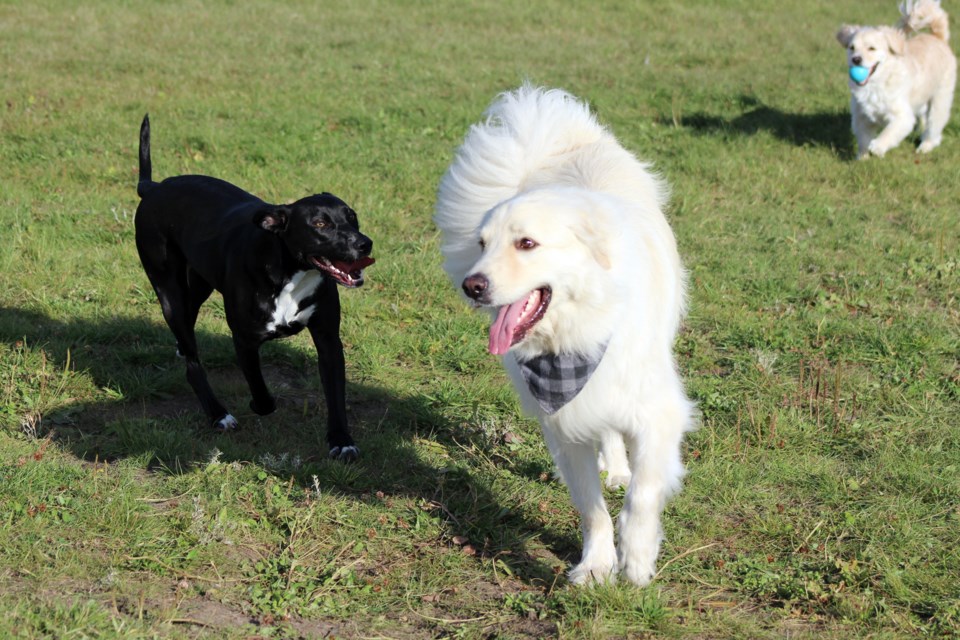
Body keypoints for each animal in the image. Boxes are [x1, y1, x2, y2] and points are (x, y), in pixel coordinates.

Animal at [133, 115, 374, 460]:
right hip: (168, 290)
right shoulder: (245, 340)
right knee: (193, 363)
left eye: (352, 218)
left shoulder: (328, 340)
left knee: (189, 327)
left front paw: (341, 441)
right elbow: (262, 394)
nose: (365, 243)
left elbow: (335, 395)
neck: (291, 273)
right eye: (320, 224)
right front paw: (257, 406)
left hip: (200, 283)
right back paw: (218, 413)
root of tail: (153, 188)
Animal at [434, 86, 688, 584]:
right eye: (482, 244)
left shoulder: (658, 412)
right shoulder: (564, 427)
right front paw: (596, 566)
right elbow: (592, 508)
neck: (575, 334)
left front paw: (637, 559)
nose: (472, 286)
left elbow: (643, 495)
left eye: (527, 244)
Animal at [836, 0, 956, 159]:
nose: (855, 59)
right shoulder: (861, 116)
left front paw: (877, 147)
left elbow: (889, 132)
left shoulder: (902, 116)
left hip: (940, 99)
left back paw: (926, 145)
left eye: (871, 48)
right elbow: (863, 138)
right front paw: (863, 157)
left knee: (934, 126)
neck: (875, 84)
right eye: (852, 47)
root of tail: (938, 38)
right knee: (924, 116)